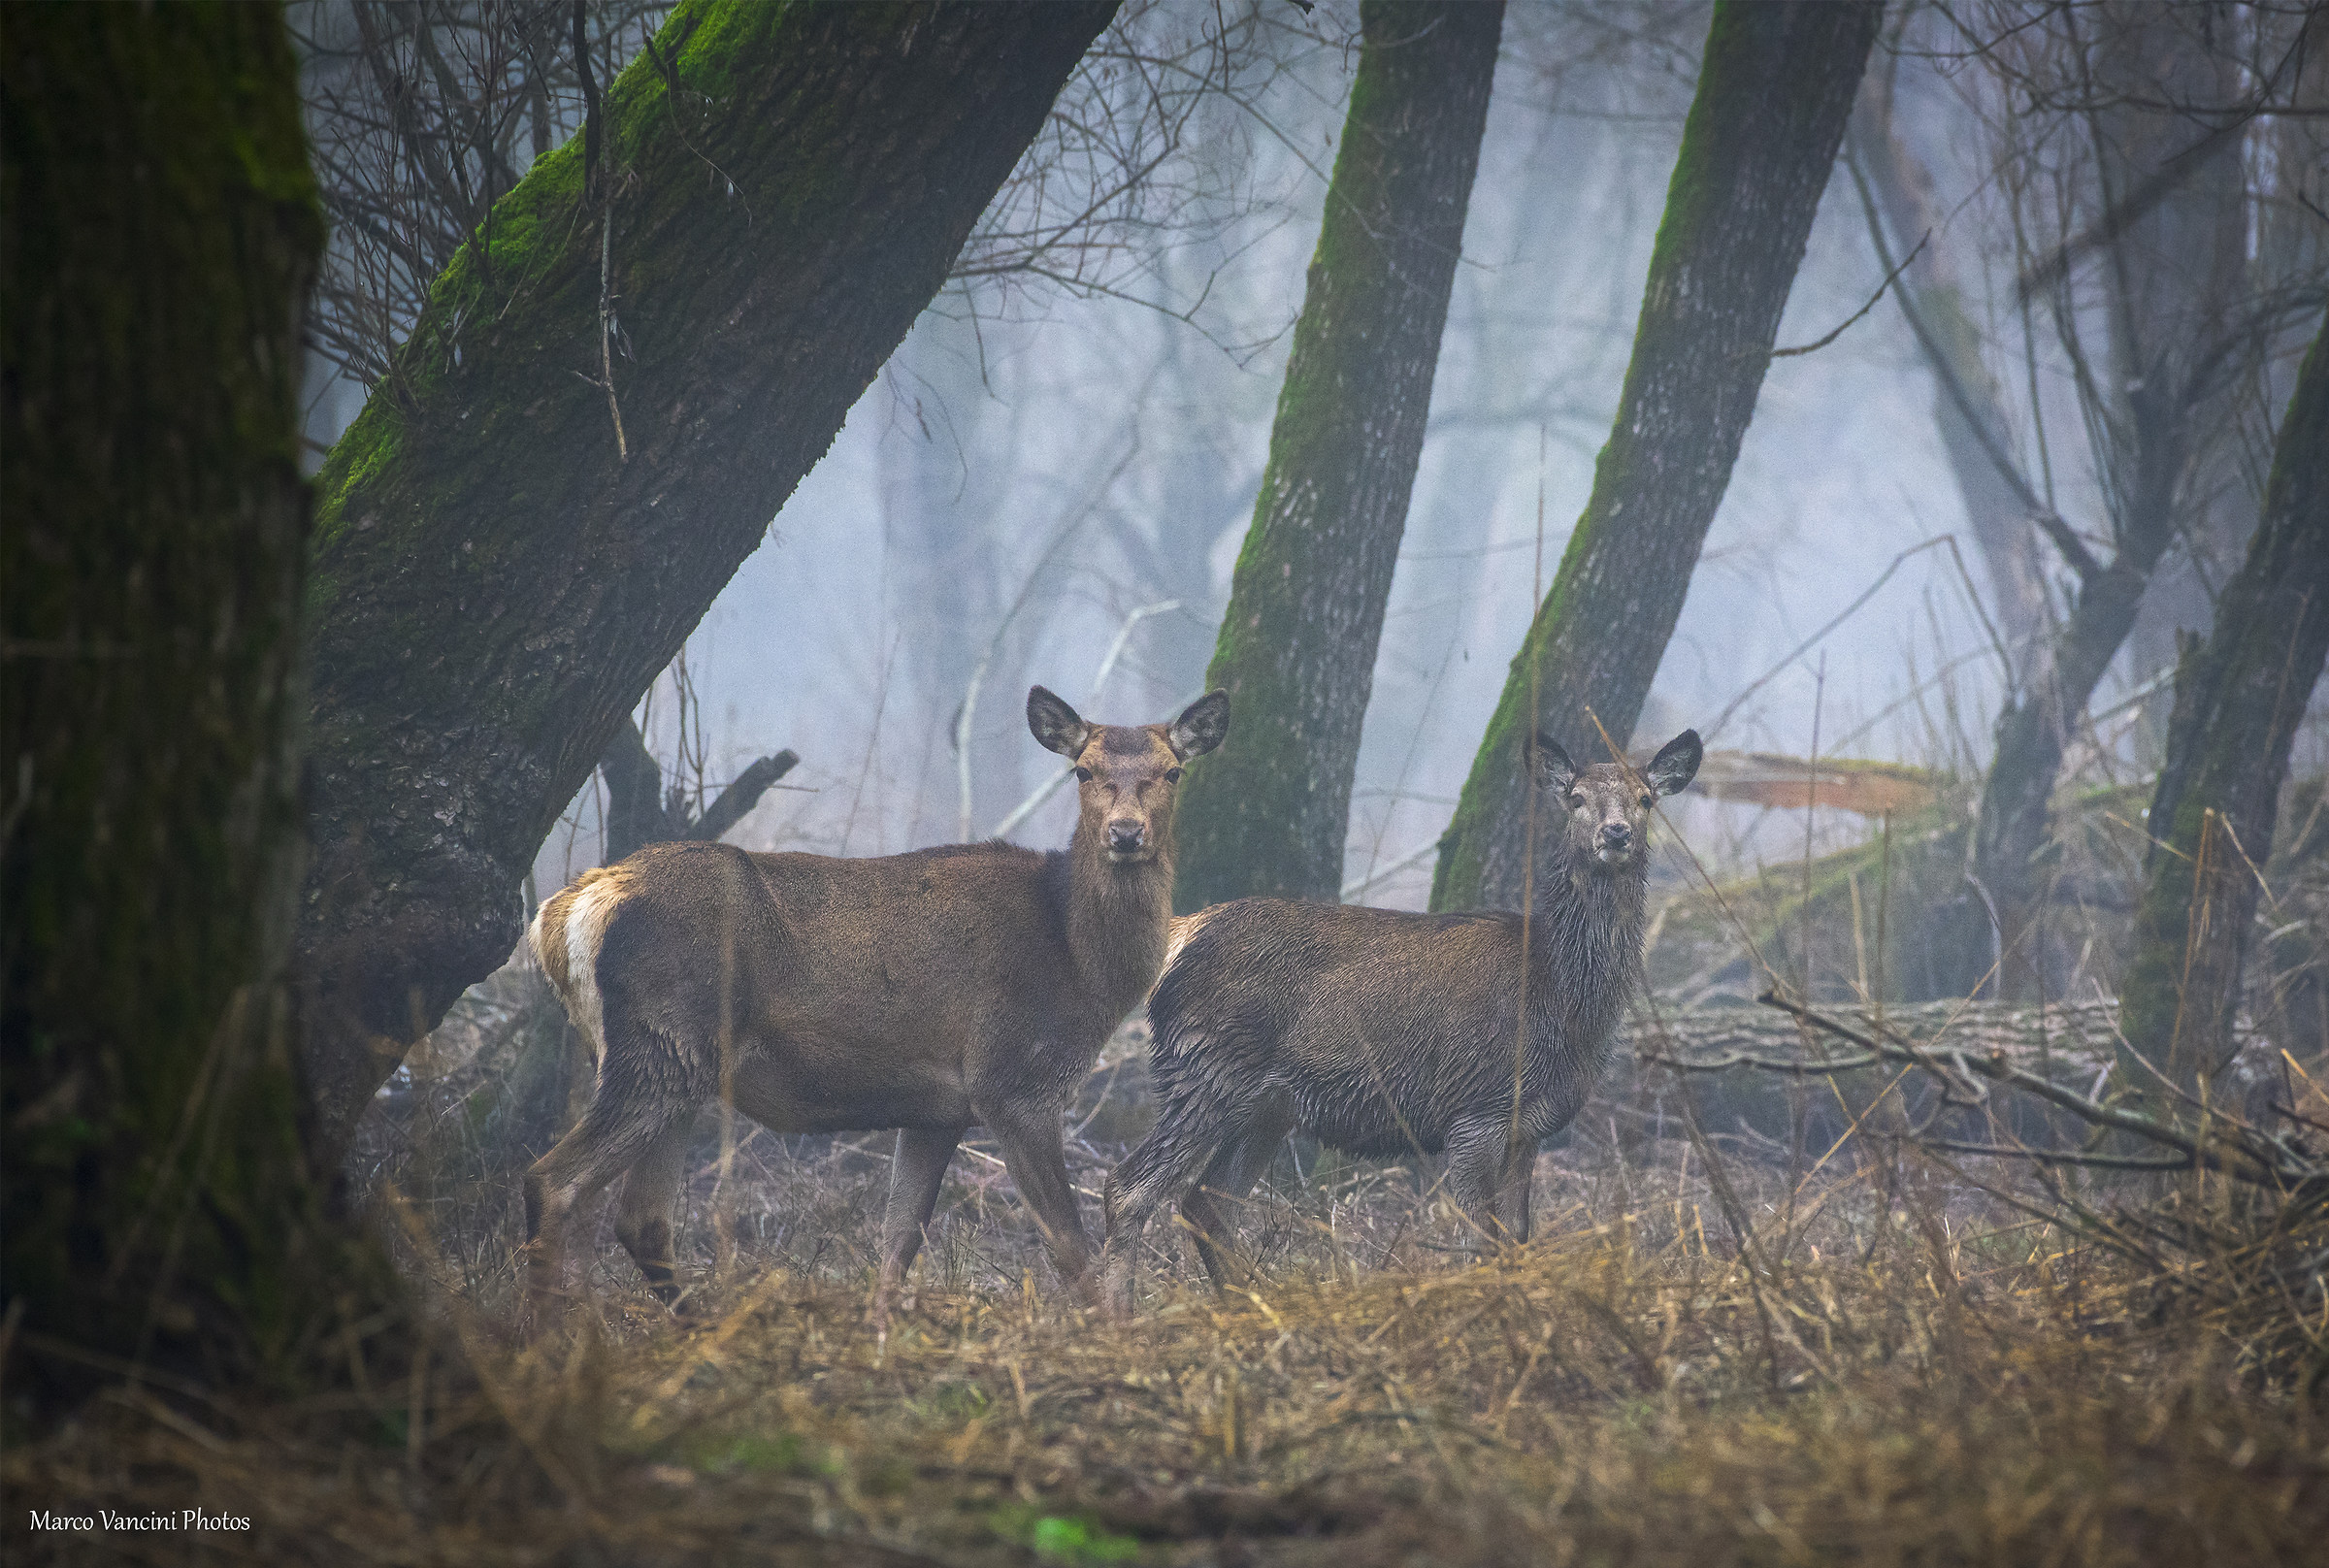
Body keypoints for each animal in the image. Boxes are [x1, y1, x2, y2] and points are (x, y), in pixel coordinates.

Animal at [523, 684, 1229, 1329]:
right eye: (1083, 769)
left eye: (1173, 770)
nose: (1126, 834)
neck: (1077, 960)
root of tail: (562, 914)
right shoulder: (1013, 1078)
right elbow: (1068, 1245)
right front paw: (1111, 1334)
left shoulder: (938, 1109)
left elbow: (900, 1238)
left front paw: (883, 1330)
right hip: (661, 1043)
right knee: (555, 1180)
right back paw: (552, 1337)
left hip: (674, 1064)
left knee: (640, 1217)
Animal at [1099, 728, 1700, 1317]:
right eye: (1575, 798)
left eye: (1645, 799)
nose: (1617, 833)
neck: (1561, 997)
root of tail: (1183, 934)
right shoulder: (1474, 1113)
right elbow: (1478, 1241)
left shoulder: (1529, 1128)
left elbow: (1516, 1238)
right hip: (1205, 1068)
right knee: (1130, 1188)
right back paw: (1119, 1316)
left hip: (1264, 1106)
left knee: (1206, 1202)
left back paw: (1249, 1305)